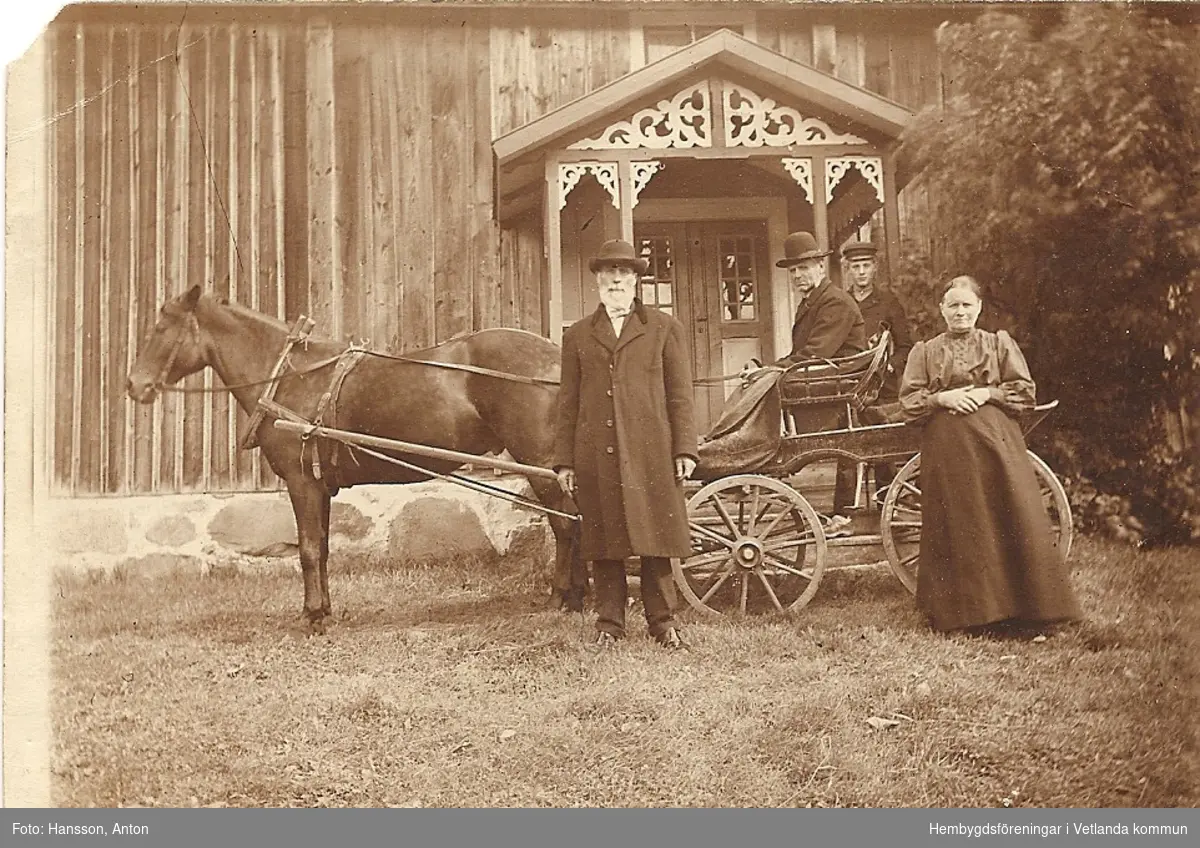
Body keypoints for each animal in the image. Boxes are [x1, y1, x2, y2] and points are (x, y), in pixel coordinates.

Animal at [126, 289, 585, 633]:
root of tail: (554, 356)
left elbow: (308, 549)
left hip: (542, 464)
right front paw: (323, 609)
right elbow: (324, 546)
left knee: (565, 526)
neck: (292, 376)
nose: (134, 386)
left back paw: (562, 596)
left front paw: (313, 617)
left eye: (161, 327)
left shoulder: (301, 481)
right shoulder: (319, 484)